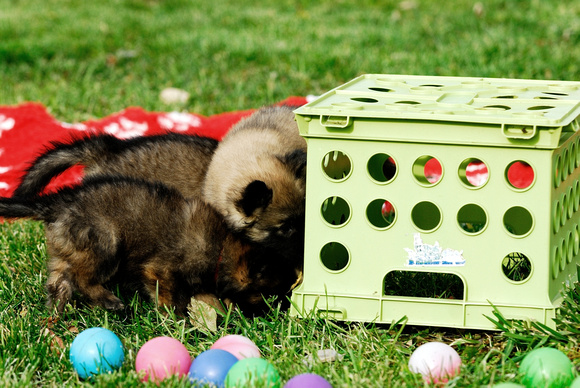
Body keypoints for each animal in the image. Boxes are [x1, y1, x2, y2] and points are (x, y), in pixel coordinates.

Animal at [0, 176, 302, 316]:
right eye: (271, 295)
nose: (284, 311)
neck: (221, 250)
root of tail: (57, 203)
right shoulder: (160, 270)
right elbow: (172, 298)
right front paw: (177, 320)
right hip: (106, 242)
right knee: (83, 279)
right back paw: (109, 300)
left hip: (67, 250)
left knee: (58, 282)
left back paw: (56, 314)